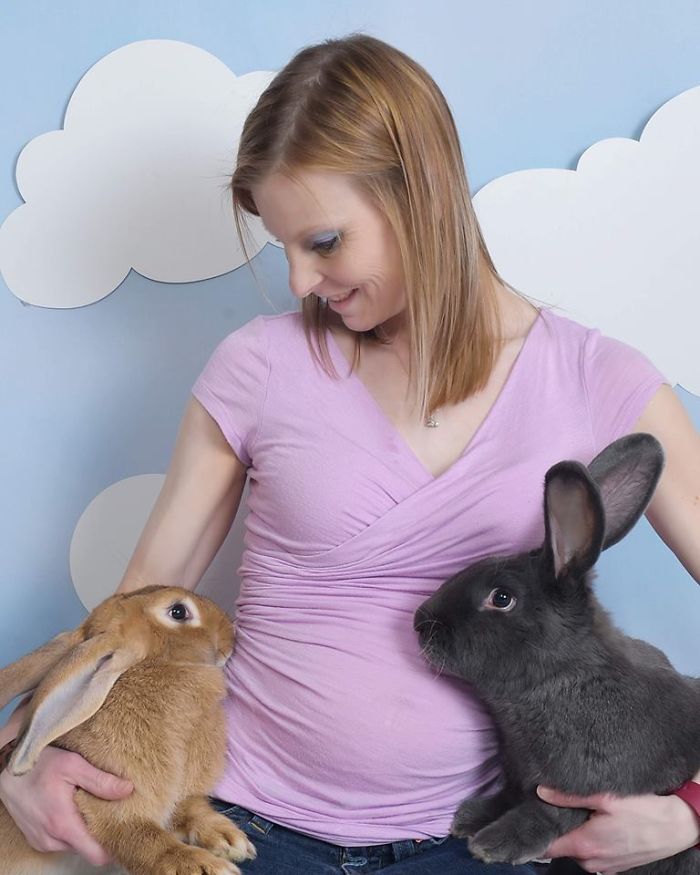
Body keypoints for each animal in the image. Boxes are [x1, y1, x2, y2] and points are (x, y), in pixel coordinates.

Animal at [0, 585, 257, 875]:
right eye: (178, 612)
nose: (230, 634)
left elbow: (190, 810)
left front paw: (228, 838)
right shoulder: (104, 802)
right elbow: (146, 840)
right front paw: (205, 867)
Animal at [414, 433, 700, 874]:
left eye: (501, 598)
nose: (418, 621)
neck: (560, 677)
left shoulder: (589, 789)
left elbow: (548, 813)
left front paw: (495, 843)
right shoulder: (518, 776)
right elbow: (509, 794)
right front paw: (472, 816)